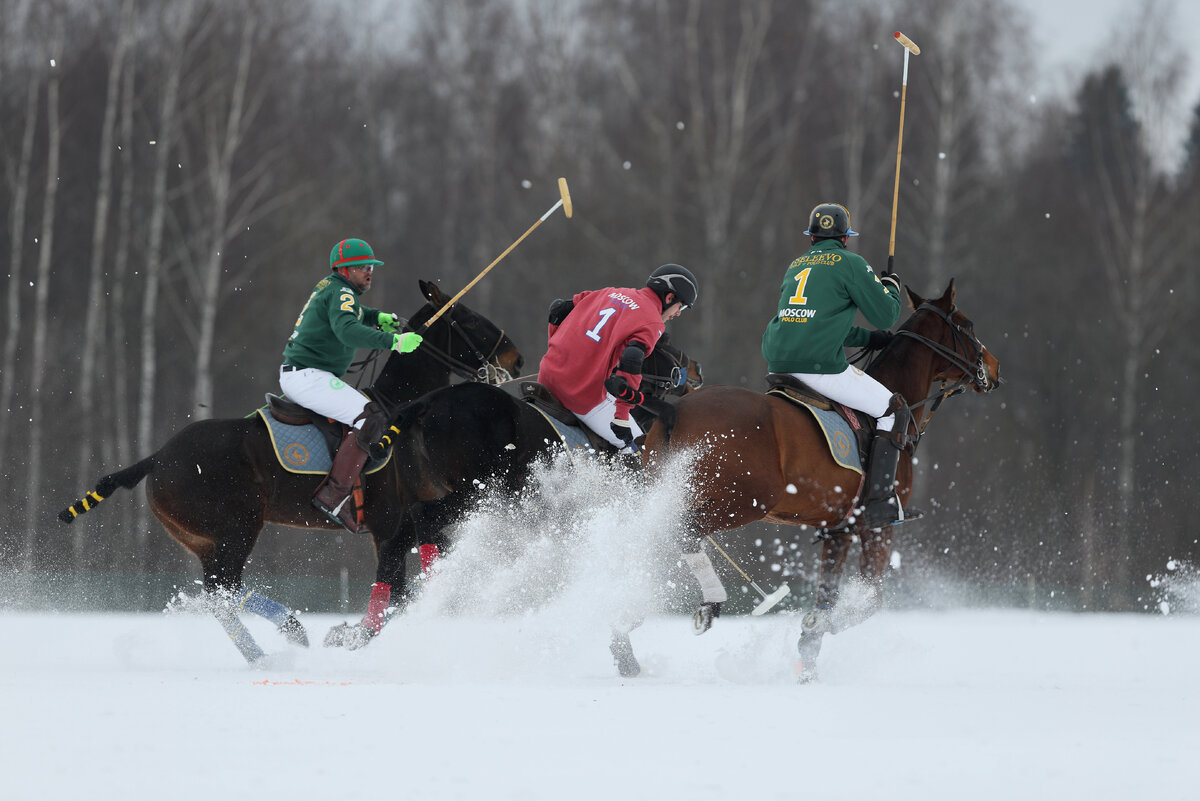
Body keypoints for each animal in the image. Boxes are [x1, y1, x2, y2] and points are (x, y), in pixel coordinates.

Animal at [58, 281, 520, 661]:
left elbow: (414, 584)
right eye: (469, 319)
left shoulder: (417, 521)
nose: (516, 359)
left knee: (221, 593)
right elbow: (395, 592)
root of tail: (155, 457)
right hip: (236, 527)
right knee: (222, 589)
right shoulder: (390, 523)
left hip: (201, 538)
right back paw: (285, 636)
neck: (406, 415)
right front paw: (346, 637)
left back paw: (275, 645)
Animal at [638, 278, 1003, 681]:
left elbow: (827, 595)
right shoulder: (877, 526)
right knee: (685, 532)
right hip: (742, 500)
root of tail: (675, 411)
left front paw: (807, 663)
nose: (994, 367)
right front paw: (818, 626)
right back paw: (711, 604)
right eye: (968, 325)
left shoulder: (837, 528)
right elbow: (869, 600)